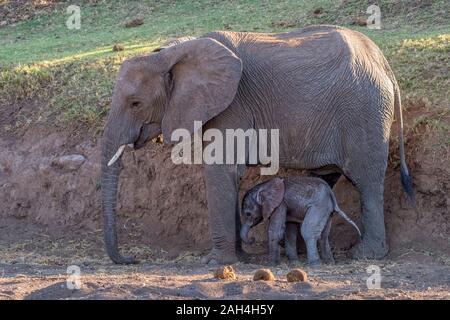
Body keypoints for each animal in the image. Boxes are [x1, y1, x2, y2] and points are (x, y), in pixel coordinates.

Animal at [100, 25, 414, 264]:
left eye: (135, 103)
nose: (131, 259)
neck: (170, 53)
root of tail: (384, 64)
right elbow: (232, 174)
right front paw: (240, 258)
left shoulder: (232, 105)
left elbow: (219, 170)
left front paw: (216, 262)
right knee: (327, 177)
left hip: (366, 111)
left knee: (366, 181)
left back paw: (364, 255)